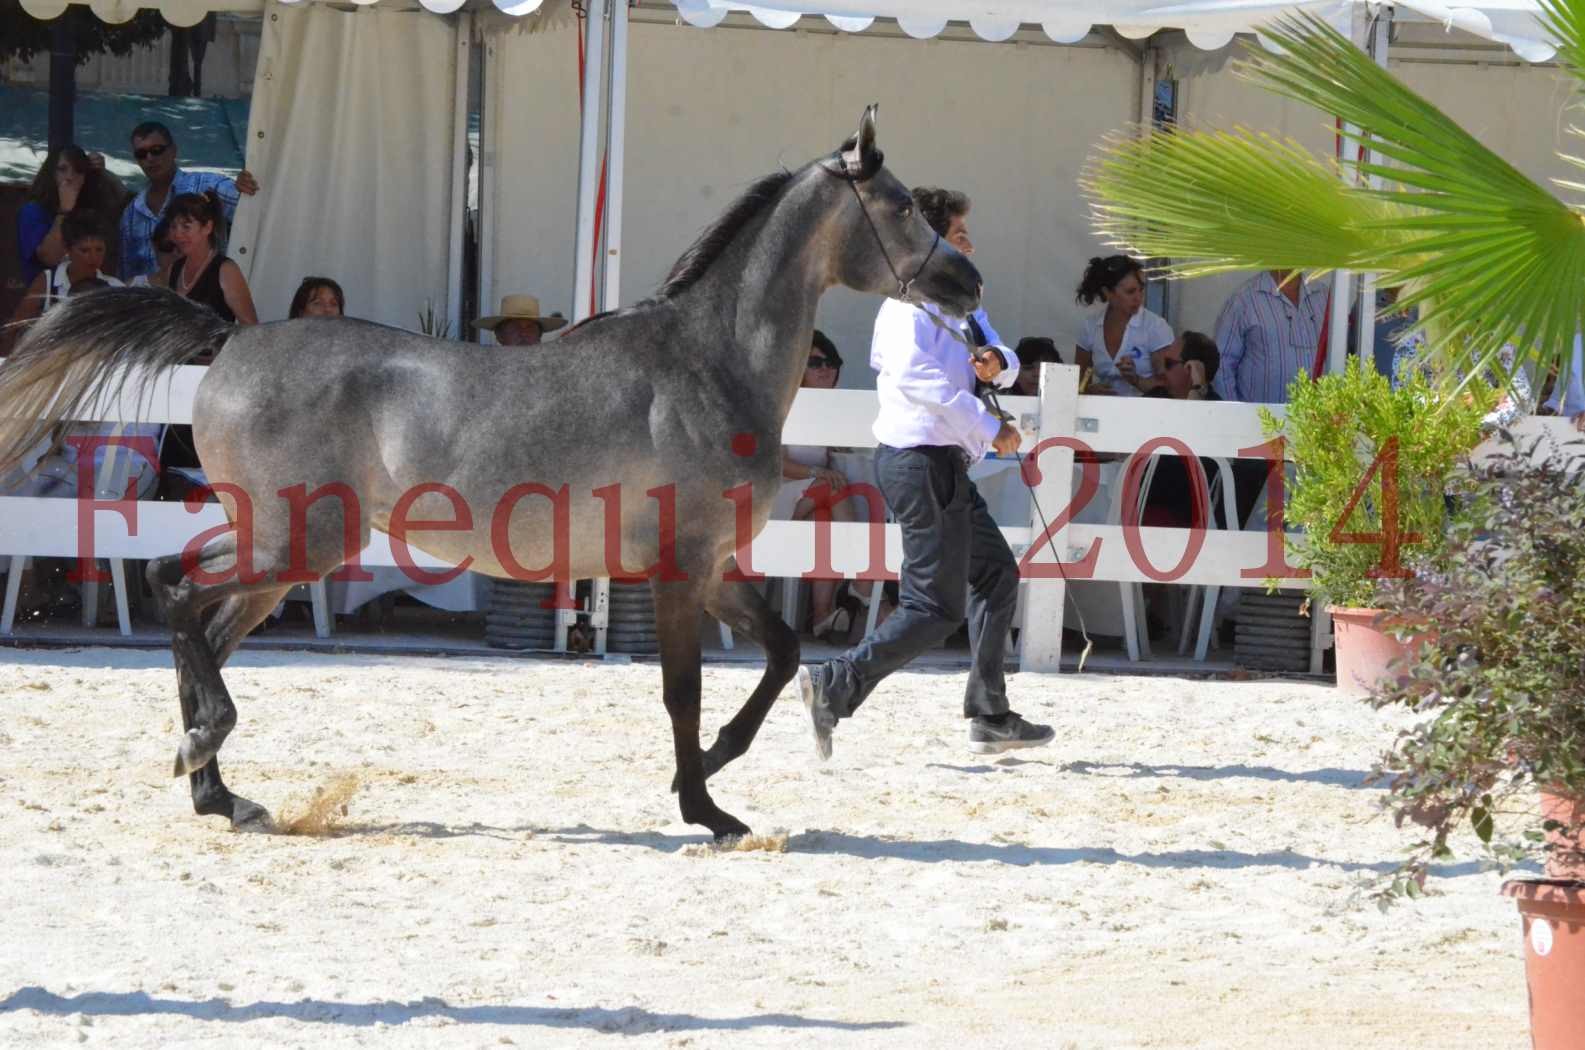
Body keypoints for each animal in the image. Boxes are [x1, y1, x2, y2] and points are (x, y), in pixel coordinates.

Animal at [0, 111, 976, 843]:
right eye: (898, 205)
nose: (964, 280)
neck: (706, 363)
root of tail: (231, 337)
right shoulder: (676, 571)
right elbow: (683, 694)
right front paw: (705, 806)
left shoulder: (709, 568)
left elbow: (777, 654)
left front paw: (717, 770)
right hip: (296, 541)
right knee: (174, 588)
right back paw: (204, 743)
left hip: (286, 551)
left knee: (199, 613)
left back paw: (219, 791)